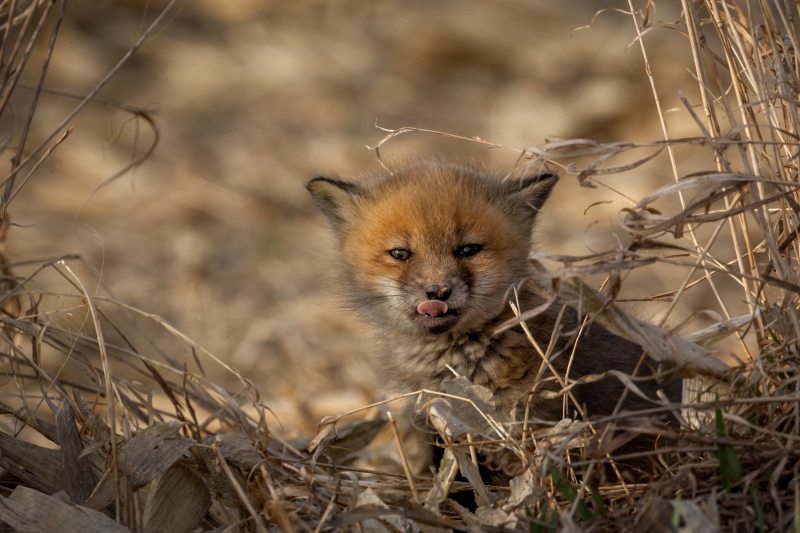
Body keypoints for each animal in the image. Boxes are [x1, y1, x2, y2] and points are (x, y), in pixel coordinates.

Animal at [307, 158, 681, 473]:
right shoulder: (432, 421)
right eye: (400, 254)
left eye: (468, 250)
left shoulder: (521, 424)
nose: (437, 292)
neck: (455, 366)